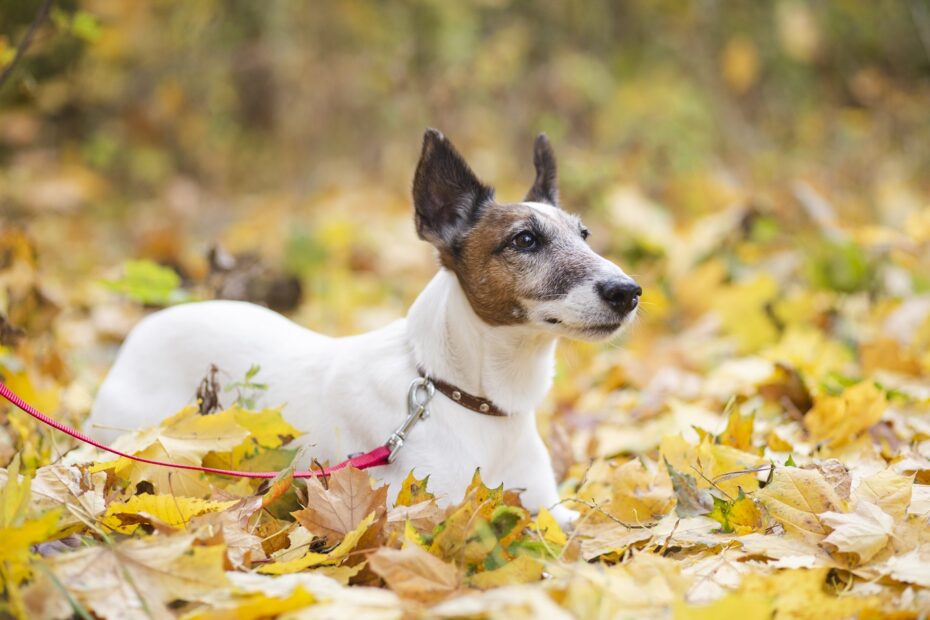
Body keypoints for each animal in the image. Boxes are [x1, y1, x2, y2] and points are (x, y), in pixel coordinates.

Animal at [89, 128, 640, 524]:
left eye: (585, 235)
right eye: (525, 240)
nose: (629, 292)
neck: (465, 396)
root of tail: (153, 323)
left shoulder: (552, 509)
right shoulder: (417, 511)